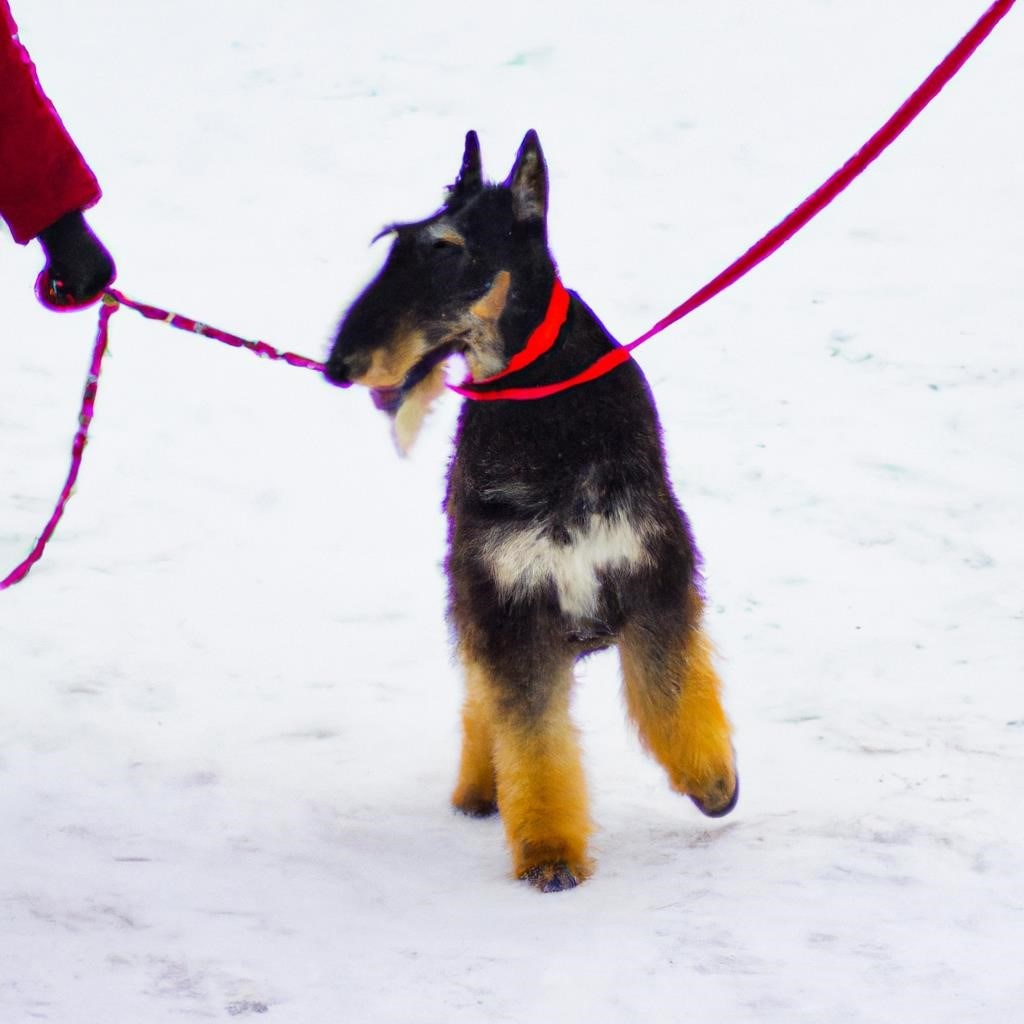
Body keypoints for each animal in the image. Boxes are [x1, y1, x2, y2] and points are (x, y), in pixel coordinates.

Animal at [327, 132, 737, 892]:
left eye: (449, 247)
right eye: (395, 245)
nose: (340, 364)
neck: (544, 403)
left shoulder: (652, 578)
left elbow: (671, 692)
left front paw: (713, 782)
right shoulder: (511, 607)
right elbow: (531, 741)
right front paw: (549, 852)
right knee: (481, 704)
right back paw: (478, 788)